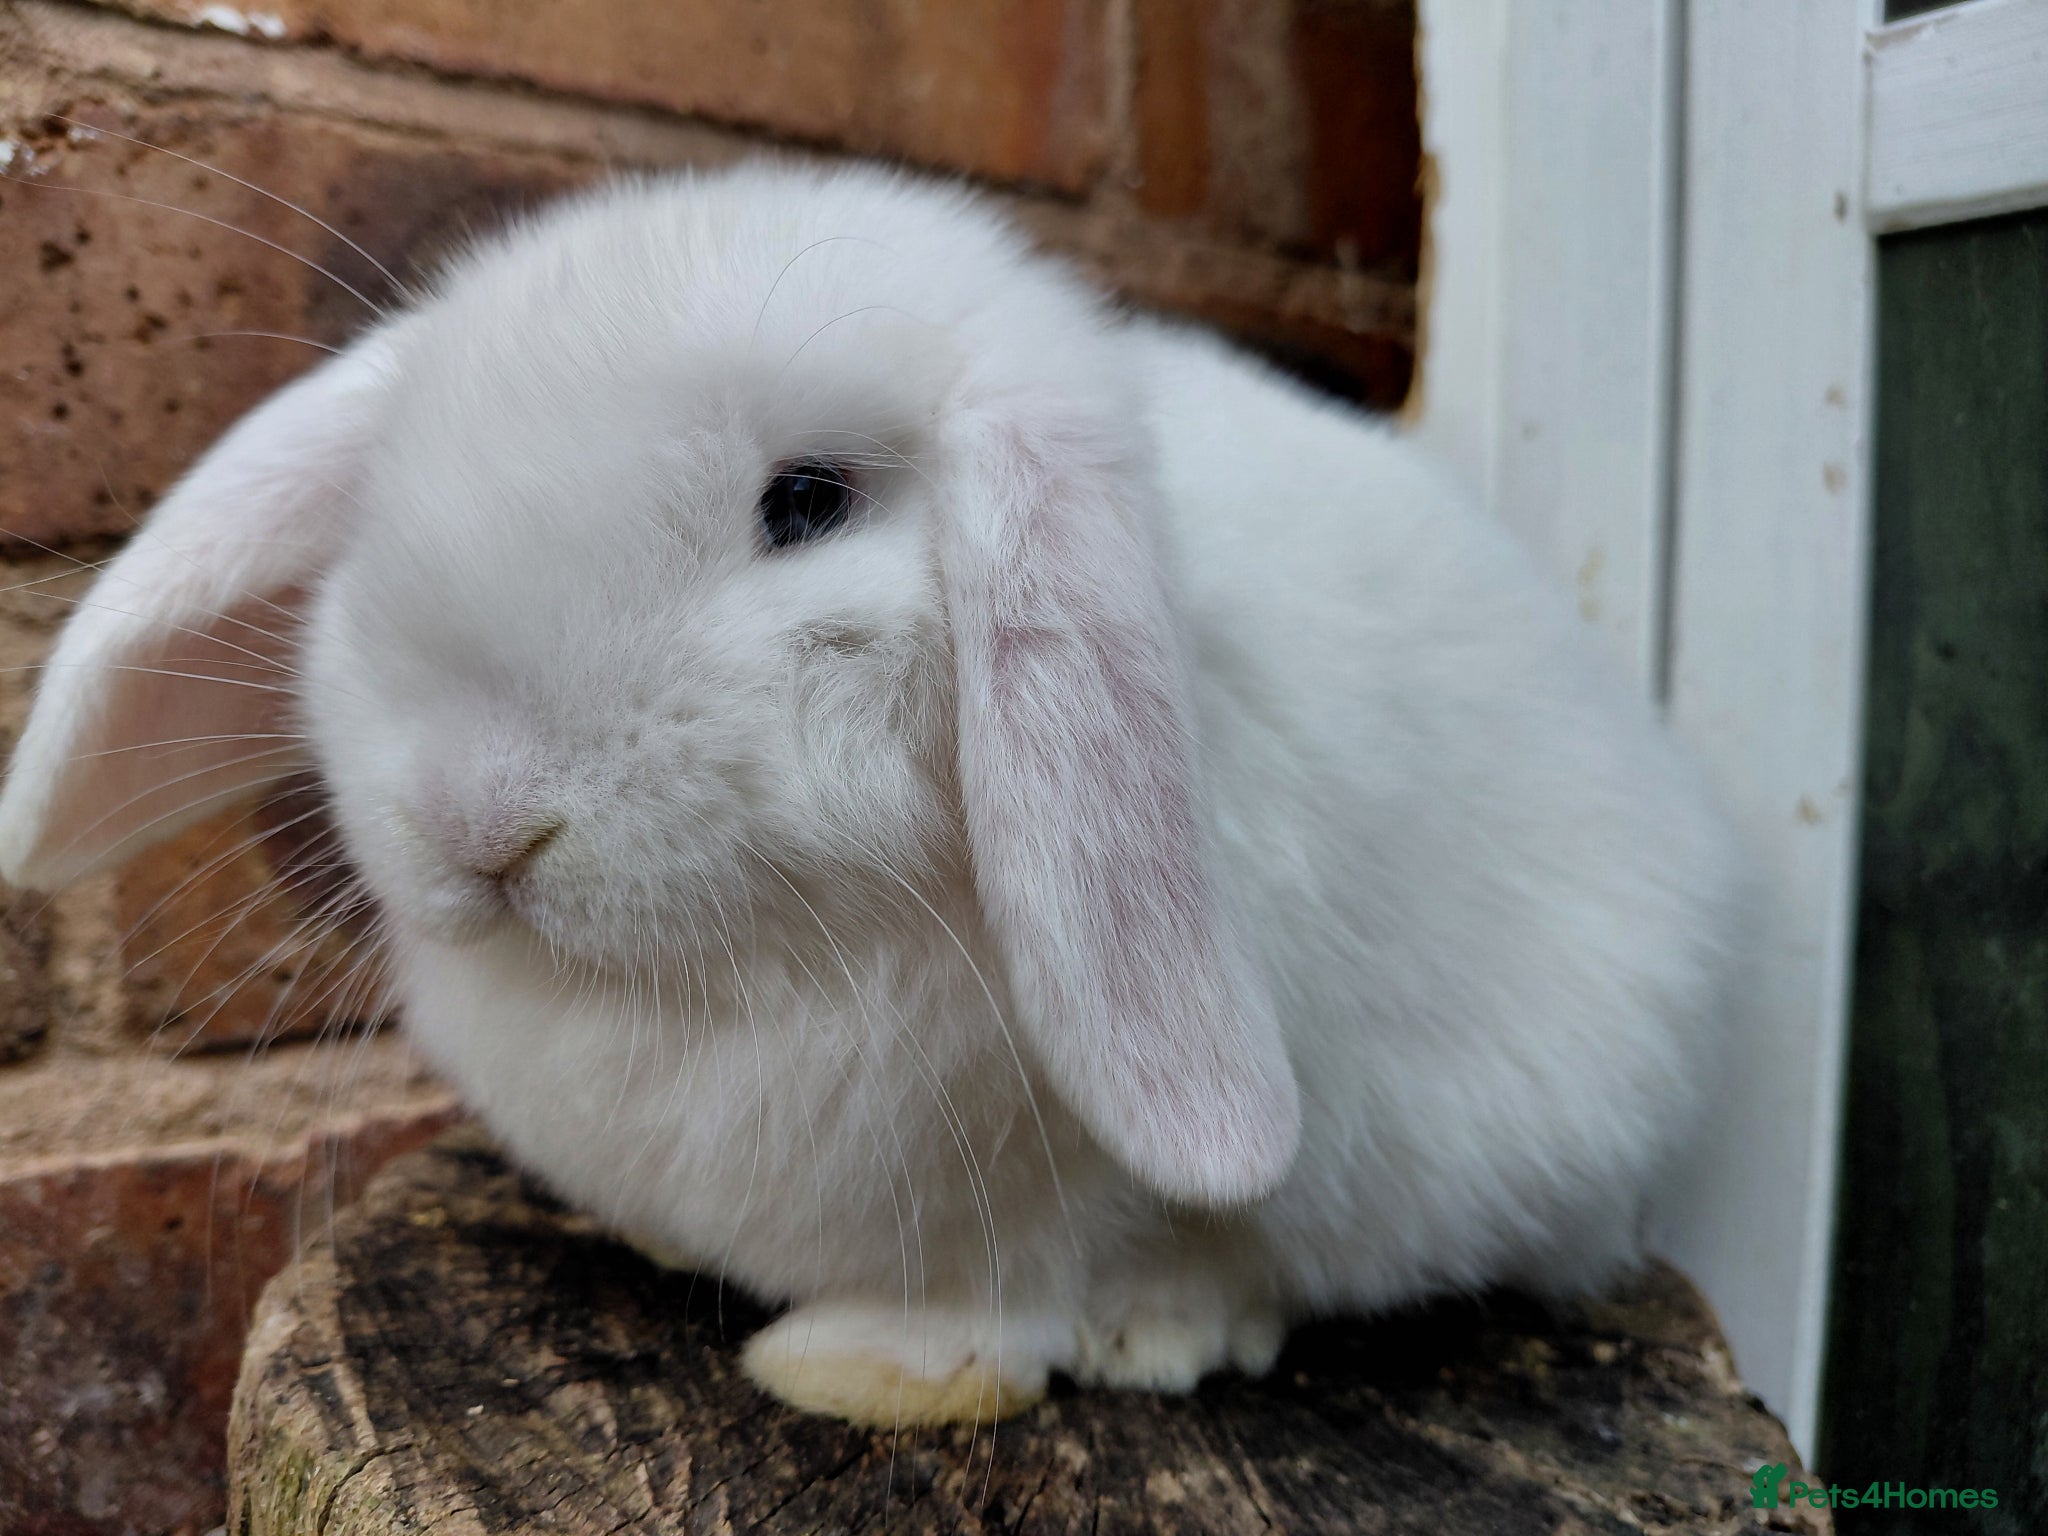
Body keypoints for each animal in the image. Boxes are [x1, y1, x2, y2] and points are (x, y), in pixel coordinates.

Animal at [0, 160, 1743, 1427]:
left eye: (808, 503)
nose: (478, 822)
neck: (724, 979)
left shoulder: (1052, 1183)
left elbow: (1015, 1285)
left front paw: (864, 1374)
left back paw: (1169, 1331)